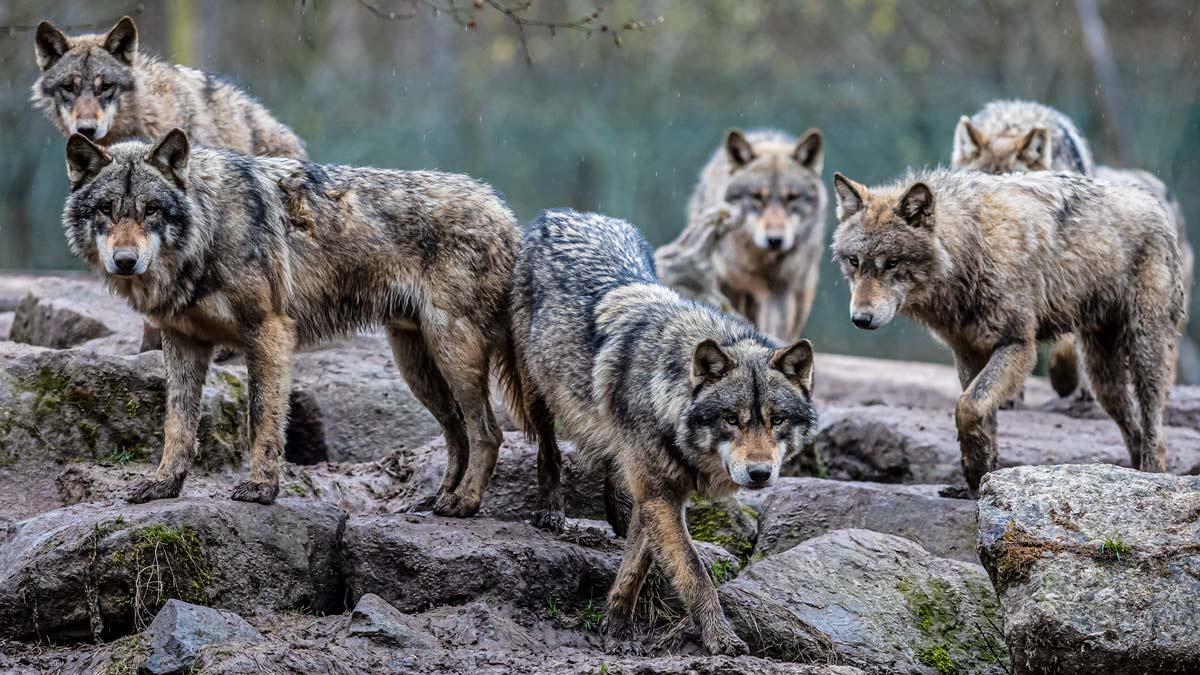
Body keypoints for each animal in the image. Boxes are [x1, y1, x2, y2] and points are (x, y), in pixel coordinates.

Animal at [62, 129, 519, 514]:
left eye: (151, 210)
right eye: (106, 209)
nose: (125, 261)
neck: (209, 230)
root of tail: (504, 211)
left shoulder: (269, 330)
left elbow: (262, 415)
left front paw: (261, 488)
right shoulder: (182, 341)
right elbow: (178, 423)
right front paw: (164, 484)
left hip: (451, 351)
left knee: (487, 431)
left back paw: (464, 502)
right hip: (415, 366)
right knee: (457, 431)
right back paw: (439, 497)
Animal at [509, 209, 818, 655]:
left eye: (776, 420)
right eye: (731, 419)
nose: (760, 474)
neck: (664, 394)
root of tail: (566, 213)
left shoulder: (659, 495)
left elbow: (636, 566)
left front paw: (616, 629)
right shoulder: (660, 495)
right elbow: (693, 571)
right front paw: (720, 637)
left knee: (615, 471)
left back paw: (617, 515)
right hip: (538, 392)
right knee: (548, 449)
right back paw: (551, 510)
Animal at [684, 128, 826, 341]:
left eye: (792, 198)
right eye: (757, 196)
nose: (775, 239)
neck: (759, 262)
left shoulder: (779, 292)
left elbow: (776, 329)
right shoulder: (726, 285)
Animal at [831, 169, 1184, 495]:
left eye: (891, 263)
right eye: (854, 261)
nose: (860, 318)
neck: (972, 249)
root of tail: (1154, 200)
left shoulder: (1018, 347)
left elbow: (969, 406)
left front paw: (977, 474)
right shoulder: (968, 352)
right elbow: (981, 416)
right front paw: (979, 482)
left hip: (1144, 352)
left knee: (1155, 429)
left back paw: (1152, 477)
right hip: (1103, 379)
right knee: (1133, 429)